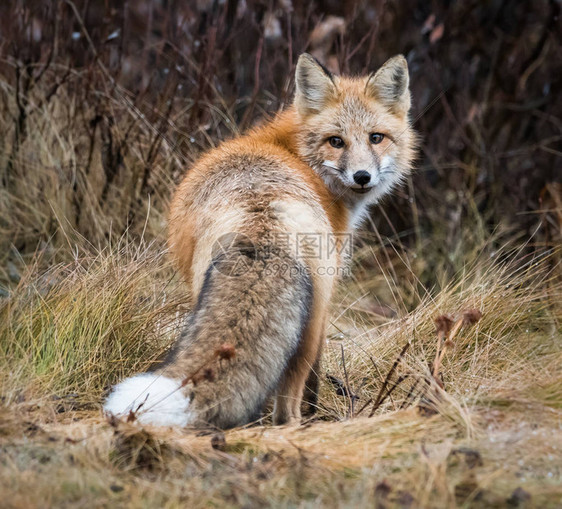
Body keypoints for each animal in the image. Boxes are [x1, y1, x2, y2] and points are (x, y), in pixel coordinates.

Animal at [103, 51, 414, 426]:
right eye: (336, 141)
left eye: (376, 138)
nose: (362, 176)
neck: (296, 155)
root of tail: (261, 213)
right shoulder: (327, 306)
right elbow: (314, 378)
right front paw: (315, 412)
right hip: (309, 325)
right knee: (289, 402)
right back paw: (291, 426)